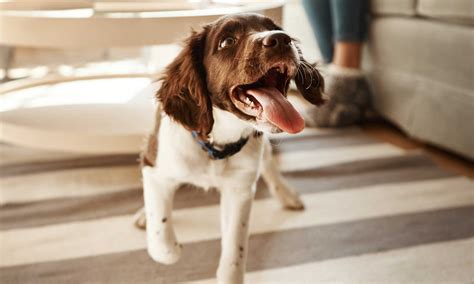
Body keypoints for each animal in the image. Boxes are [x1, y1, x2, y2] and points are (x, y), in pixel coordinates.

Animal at [135, 12, 324, 282]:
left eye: (275, 28)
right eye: (227, 42)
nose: (281, 39)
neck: (216, 145)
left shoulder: (239, 189)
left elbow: (235, 250)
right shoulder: (154, 168)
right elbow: (163, 245)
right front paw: (173, 245)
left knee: (269, 161)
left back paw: (286, 194)